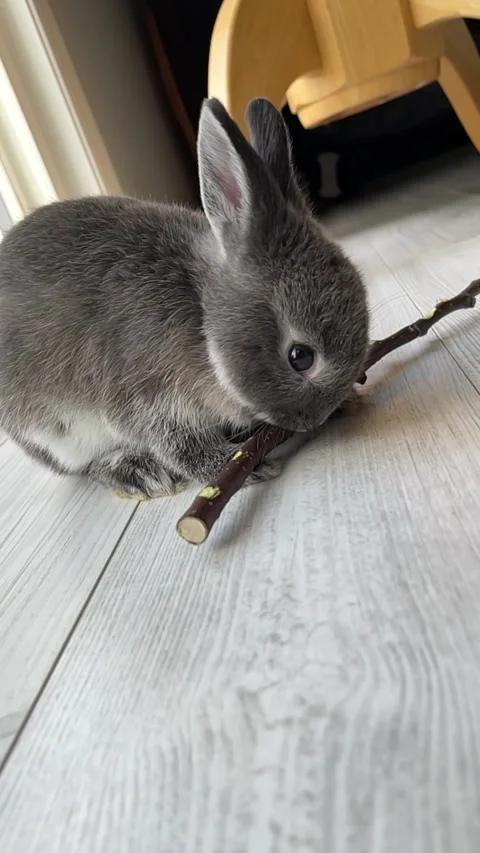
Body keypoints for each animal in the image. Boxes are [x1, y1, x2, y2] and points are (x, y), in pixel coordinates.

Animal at [0, 97, 369, 499]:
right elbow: (177, 444)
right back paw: (137, 472)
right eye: (300, 357)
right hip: (60, 436)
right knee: (86, 466)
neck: (203, 315)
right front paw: (236, 466)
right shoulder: (147, 393)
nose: (314, 418)